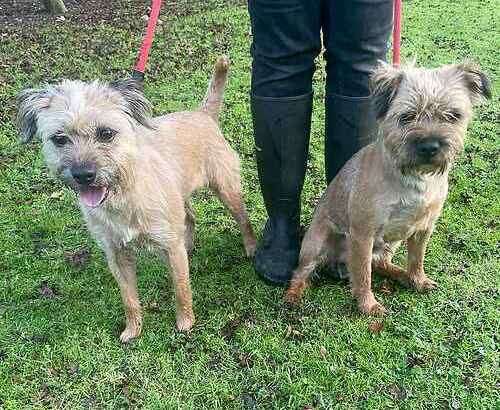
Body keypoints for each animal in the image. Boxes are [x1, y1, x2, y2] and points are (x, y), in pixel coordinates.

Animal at [17, 56, 256, 342]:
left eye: (106, 133)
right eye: (59, 138)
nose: (83, 175)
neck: (123, 193)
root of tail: (203, 114)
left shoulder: (169, 246)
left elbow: (181, 288)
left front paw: (185, 322)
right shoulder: (117, 256)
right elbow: (129, 298)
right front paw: (133, 329)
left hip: (227, 190)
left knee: (243, 219)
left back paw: (251, 247)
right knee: (190, 217)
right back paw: (189, 245)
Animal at [288, 60, 490, 314]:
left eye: (453, 115)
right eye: (407, 116)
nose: (430, 146)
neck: (413, 178)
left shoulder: (424, 229)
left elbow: (416, 259)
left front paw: (418, 279)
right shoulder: (362, 234)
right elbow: (363, 274)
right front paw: (368, 304)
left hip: (389, 244)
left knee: (381, 263)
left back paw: (403, 275)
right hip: (316, 243)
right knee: (301, 271)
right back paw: (293, 295)